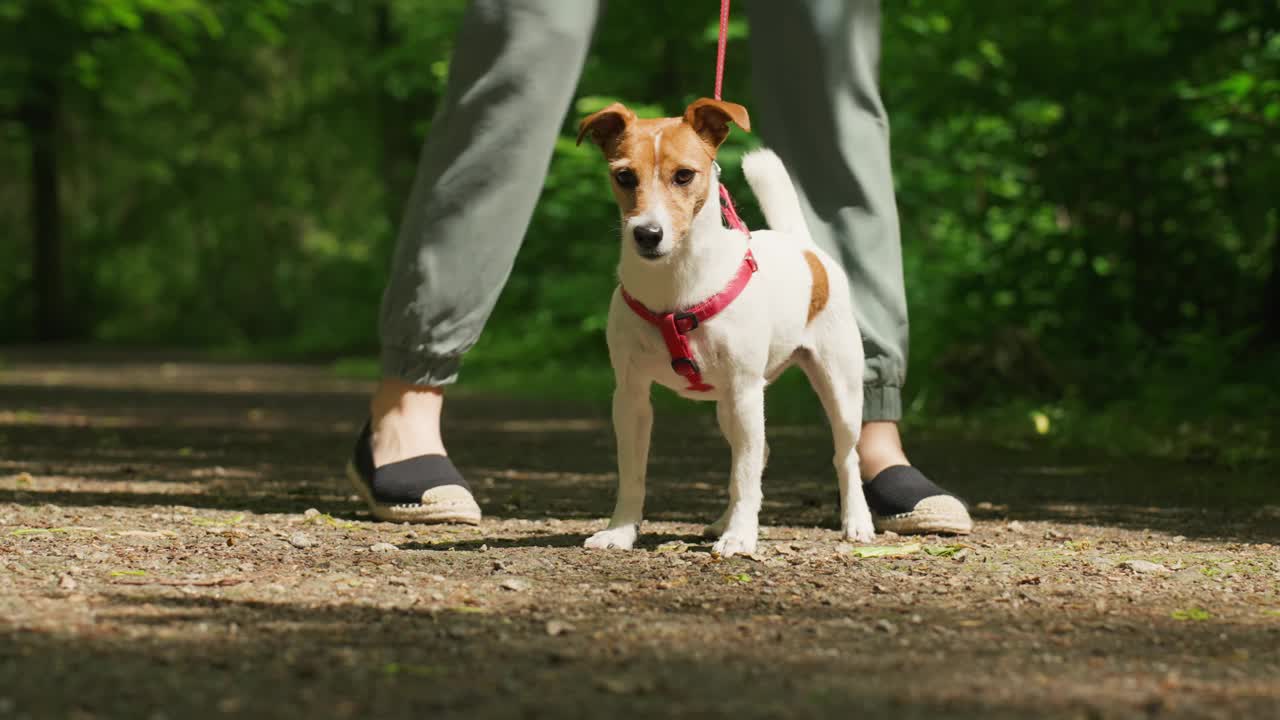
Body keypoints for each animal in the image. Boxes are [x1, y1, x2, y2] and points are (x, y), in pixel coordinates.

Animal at [576, 96, 875, 556]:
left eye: (684, 175)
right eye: (624, 176)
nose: (647, 233)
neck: (676, 287)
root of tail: (803, 247)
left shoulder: (747, 391)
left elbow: (744, 475)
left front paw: (741, 537)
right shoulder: (630, 397)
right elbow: (633, 473)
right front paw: (621, 531)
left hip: (837, 388)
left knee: (844, 456)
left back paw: (856, 521)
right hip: (726, 409)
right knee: (758, 453)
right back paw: (722, 520)